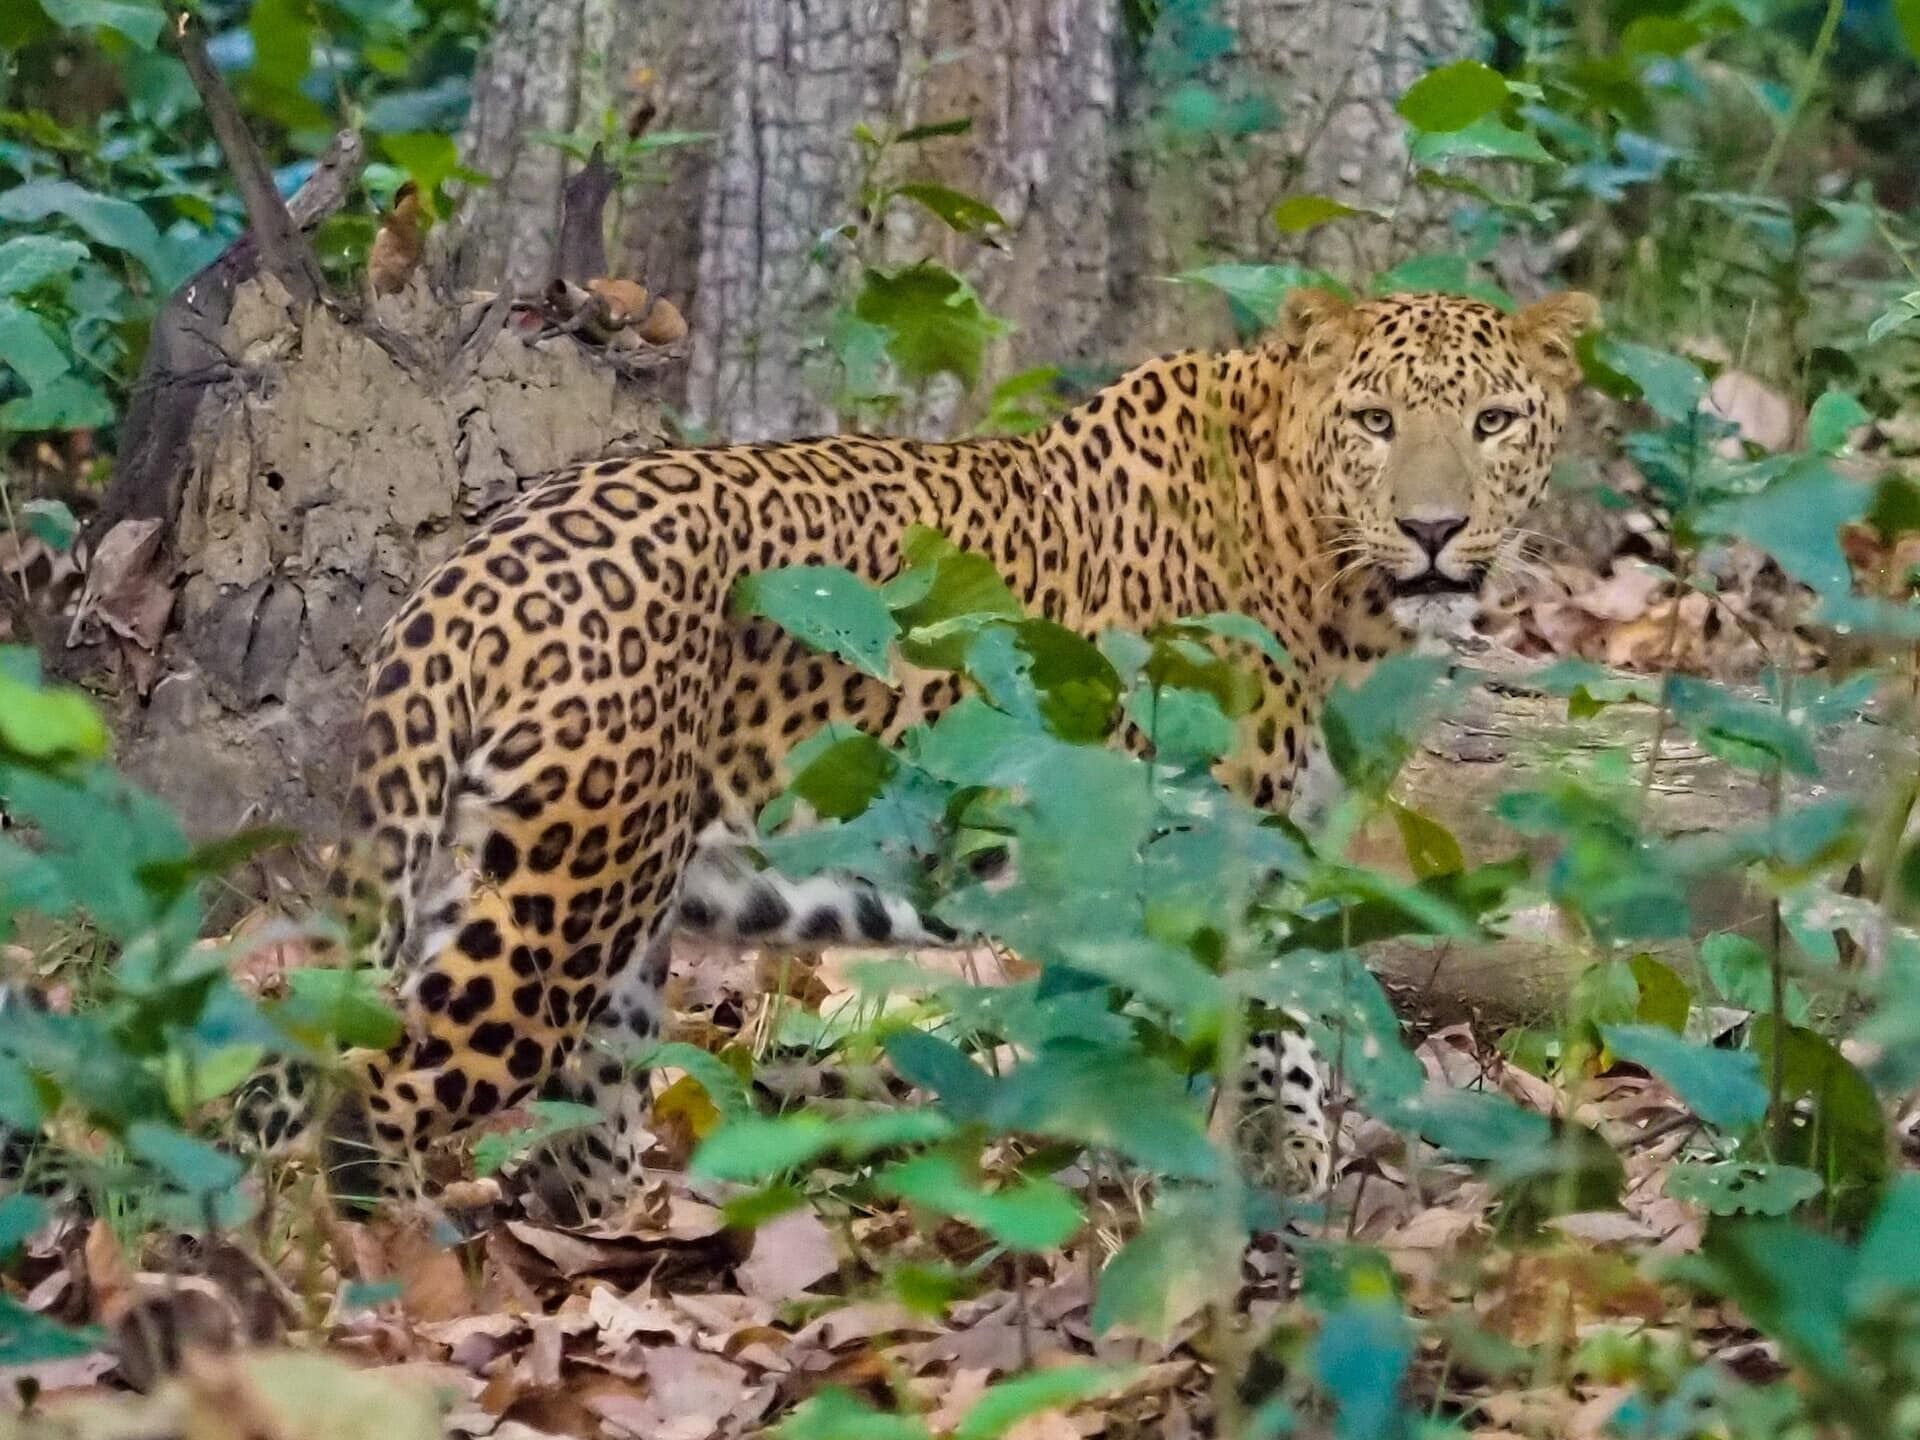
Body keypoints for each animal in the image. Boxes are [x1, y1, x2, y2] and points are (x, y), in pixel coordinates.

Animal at [193, 287, 1601, 1218]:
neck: (1334, 580)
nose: (1434, 530)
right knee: (366, 1093)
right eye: (1374, 421)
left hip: (571, 912)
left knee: (532, 1121)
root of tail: (469, 571)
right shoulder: (1162, 861)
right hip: (549, 932)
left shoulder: (1275, 856)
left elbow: (1281, 1025)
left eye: (1492, 420)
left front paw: (1281, 1180)